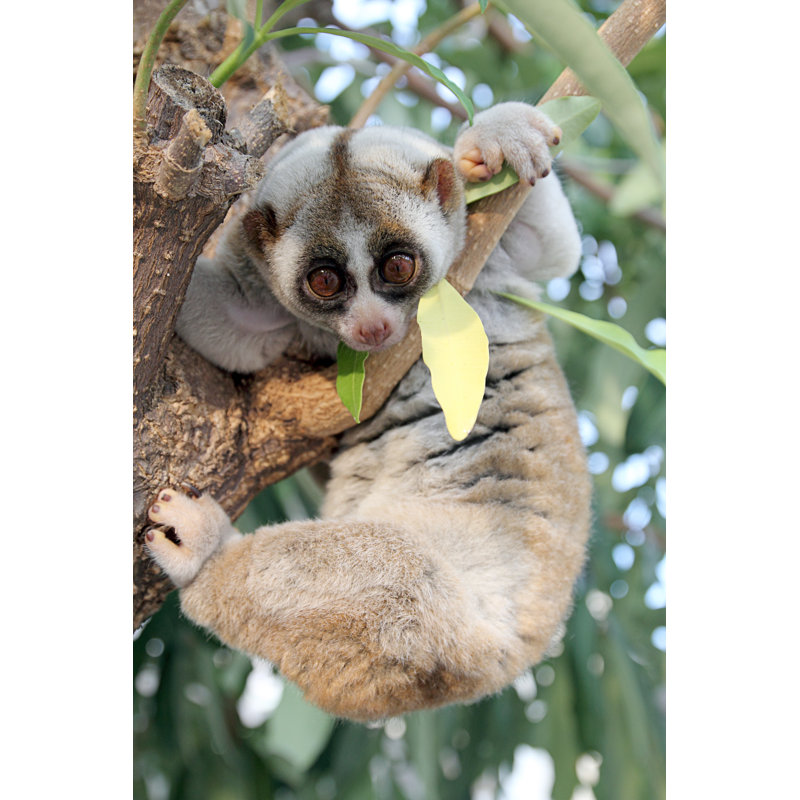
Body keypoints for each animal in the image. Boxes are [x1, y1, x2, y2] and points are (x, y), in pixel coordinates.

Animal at [145, 102, 593, 722]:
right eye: (325, 281)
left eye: (398, 267)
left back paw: (203, 549)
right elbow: (235, 333)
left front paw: (498, 138)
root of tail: (507, 664)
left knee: (396, 570)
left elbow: (552, 248)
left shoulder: (491, 259)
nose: (373, 329)